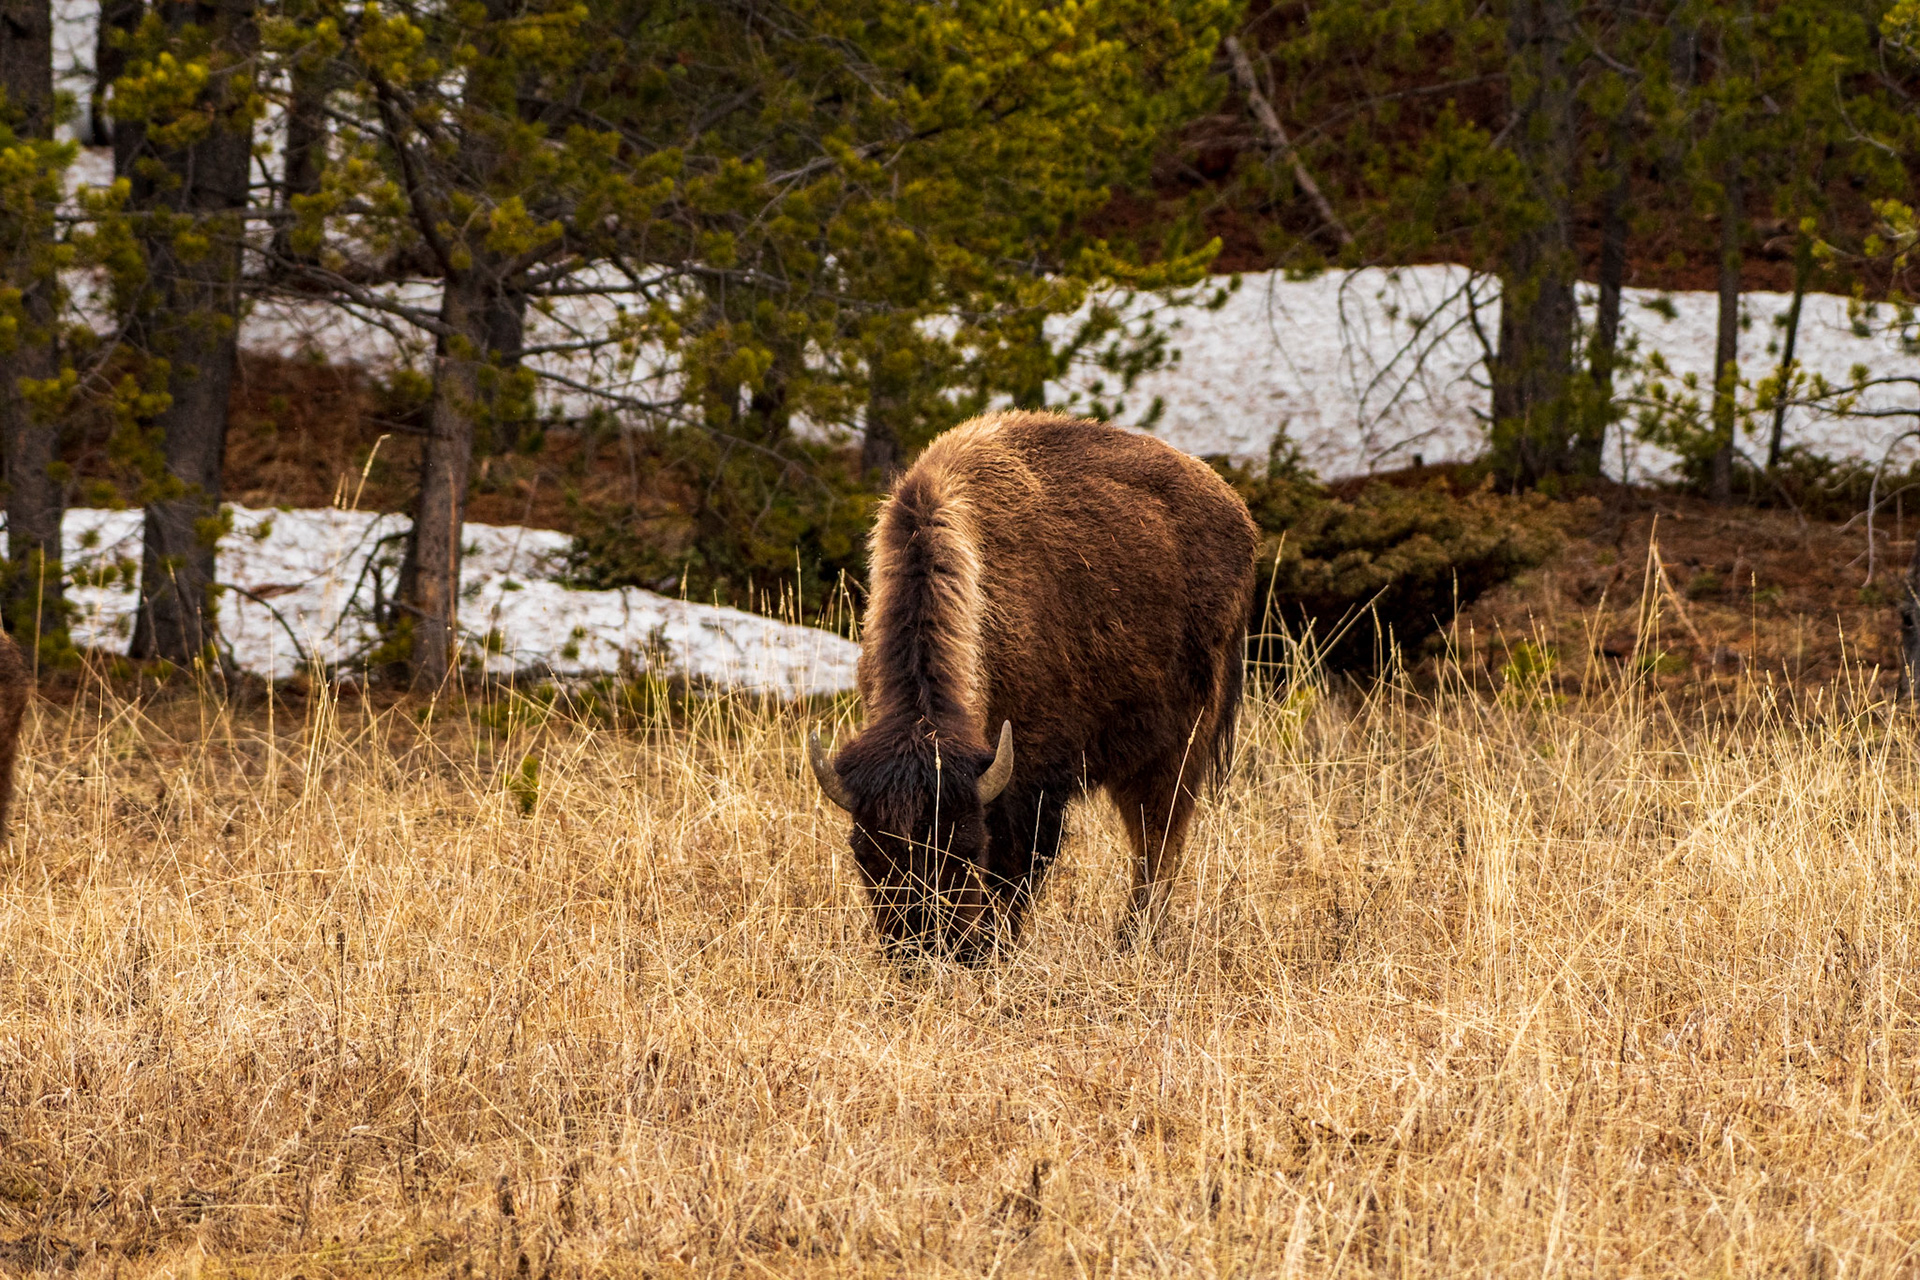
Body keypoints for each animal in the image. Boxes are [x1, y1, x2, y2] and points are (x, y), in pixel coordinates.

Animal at [810, 411, 1258, 960]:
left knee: (1158, 839)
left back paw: (1133, 939)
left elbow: (1017, 868)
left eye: (965, 849)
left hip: (1177, 745)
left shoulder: (1032, 784)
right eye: (868, 855)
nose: (924, 950)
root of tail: (1234, 507)